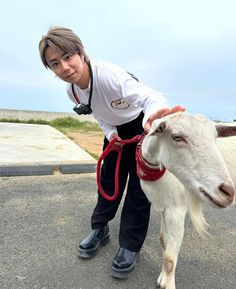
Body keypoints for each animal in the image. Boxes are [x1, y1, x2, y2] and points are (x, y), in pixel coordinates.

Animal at [140, 111, 236, 288]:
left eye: (215, 137)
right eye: (177, 137)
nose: (228, 192)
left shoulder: (177, 209)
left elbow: (170, 259)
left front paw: (169, 284)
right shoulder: (164, 205)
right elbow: (163, 240)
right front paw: (162, 279)